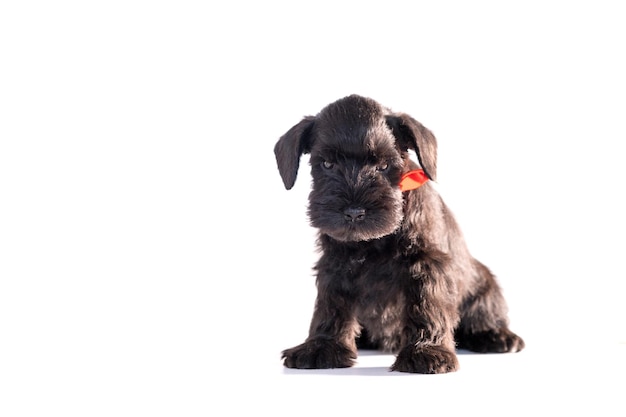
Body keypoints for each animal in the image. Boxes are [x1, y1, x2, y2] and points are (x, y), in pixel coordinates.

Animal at [272, 95, 520, 374]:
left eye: (383, 165)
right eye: (327, 164)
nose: (354, 212)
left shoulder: (426, 263)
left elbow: (427, 306)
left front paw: (427, 351)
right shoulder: (335, 266)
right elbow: (330, 306)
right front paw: (321, 346)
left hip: (484, 285)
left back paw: (496, 335)